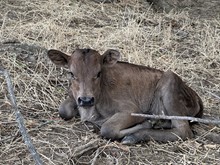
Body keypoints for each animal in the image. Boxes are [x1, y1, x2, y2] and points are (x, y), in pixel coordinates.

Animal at [48, 48, 203, 144]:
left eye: (98, 73)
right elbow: (63, 110)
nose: (86, 100)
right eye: (71, 73)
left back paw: (136, 135)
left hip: (170, 83)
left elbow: (108, 128)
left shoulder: (132, 110)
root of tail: (196, 96)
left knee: (183, 131)